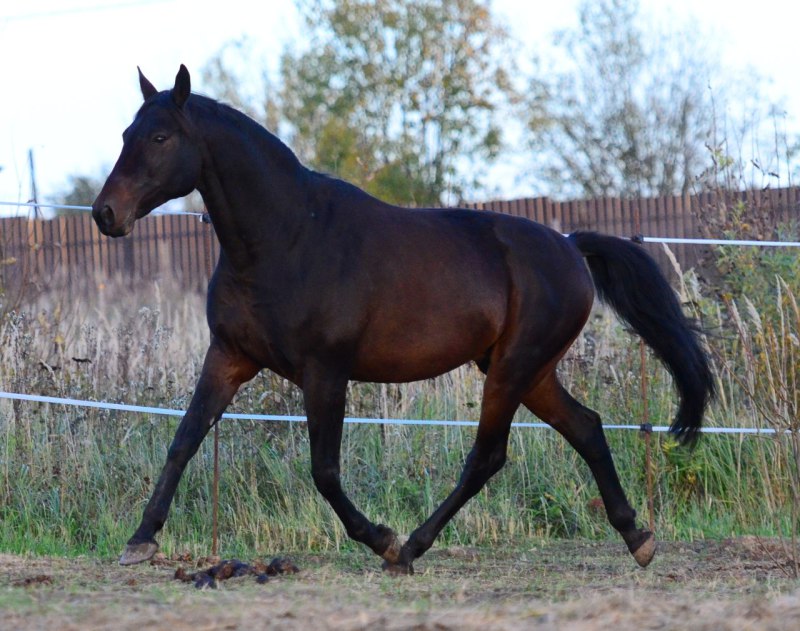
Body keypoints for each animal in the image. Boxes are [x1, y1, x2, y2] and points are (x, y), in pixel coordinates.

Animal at [92, 66, 712, 576]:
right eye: (124, 135)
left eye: (160, 137)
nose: (105, 214)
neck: (287, 238)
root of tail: (568, 245)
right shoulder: (228, 356)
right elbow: (184, 439)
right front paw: (140, 540)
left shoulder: (325, 372)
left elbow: (324, 470)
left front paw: (381, 539)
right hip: (530, 371)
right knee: (586, 428)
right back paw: (637, 538)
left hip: (513, 368)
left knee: (488, 457)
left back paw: (410, 548)